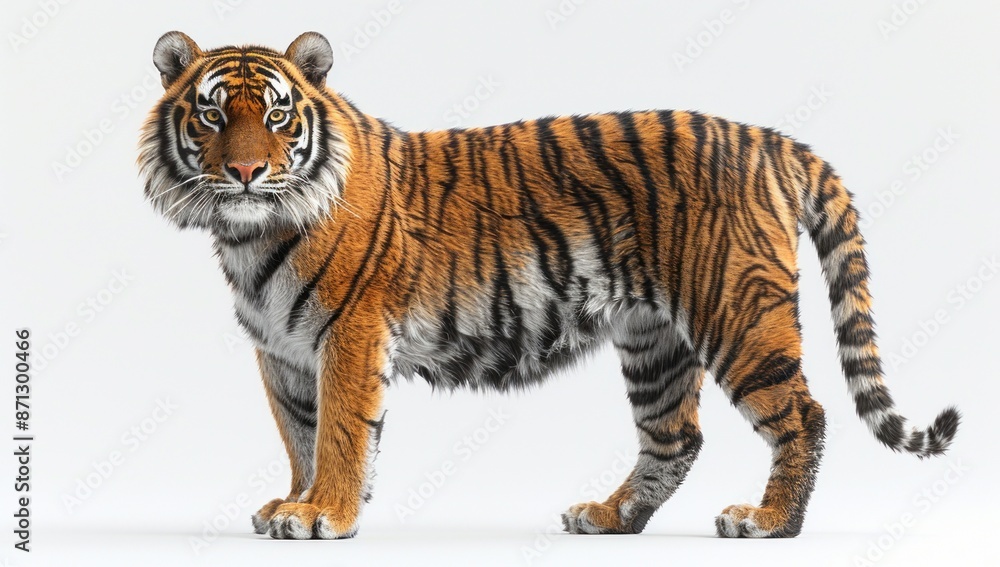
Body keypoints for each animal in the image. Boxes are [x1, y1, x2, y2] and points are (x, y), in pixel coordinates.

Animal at [138, 31, 960, 540]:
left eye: (278, 115)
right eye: (212, 113)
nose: (246, 171)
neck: (250, 233)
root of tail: (771, 140)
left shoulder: (351, 333)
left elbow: (340, 432)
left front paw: (325, 514)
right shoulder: (281, 350)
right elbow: (300, 434)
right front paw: (297, 501)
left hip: (739, 313)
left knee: (804, 414)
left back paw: (769, 523)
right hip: (654, 341)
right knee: (675, 436)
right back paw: (610, 517)